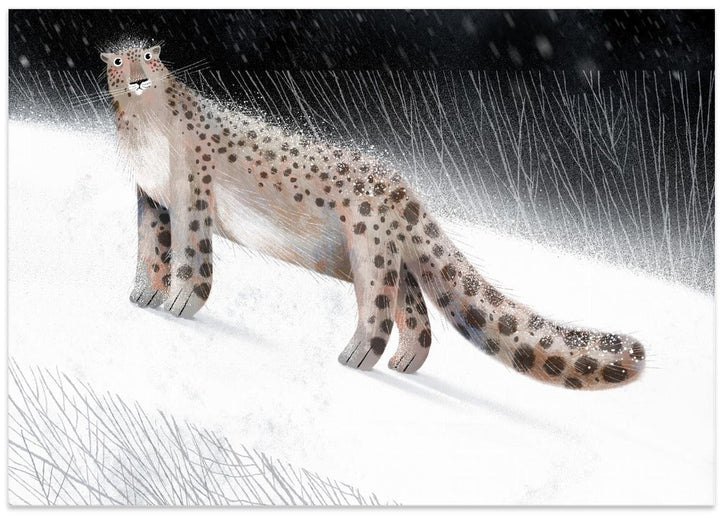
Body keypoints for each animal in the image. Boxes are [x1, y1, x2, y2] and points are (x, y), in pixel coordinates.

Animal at [101, 44, 646, 390]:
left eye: (151, 57)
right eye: (118, 60)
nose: (139, 77)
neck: (143, 134)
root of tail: (406, 190)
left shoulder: (191, 196)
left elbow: (191, 256)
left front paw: (178, 303)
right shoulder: (152, 199)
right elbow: (150, 248)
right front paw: (143, 294)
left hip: (369, 248)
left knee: (380, 308)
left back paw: (356, 356)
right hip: (392, 259)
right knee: (417, 313)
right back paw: (405, 361)